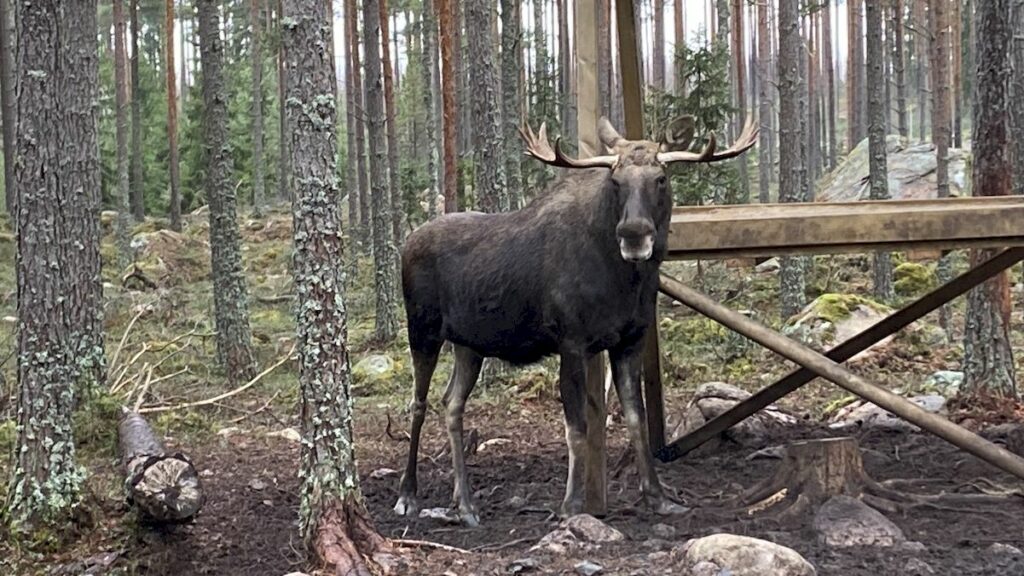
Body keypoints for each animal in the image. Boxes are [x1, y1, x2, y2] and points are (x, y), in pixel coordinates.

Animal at [395, 114, 757, 522]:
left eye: (660, 178)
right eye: (615, 181)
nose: (633, 233)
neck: (626, 281)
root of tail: (407, 242)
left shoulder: (630, 340)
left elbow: (636, 418)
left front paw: (658, 495)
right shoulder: (571, 341)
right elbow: (577, 426)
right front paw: (571, 504)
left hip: (469, 345)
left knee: (452, 403)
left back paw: (466, 502)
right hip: (422, 329)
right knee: (418, 403)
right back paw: (409, 494)